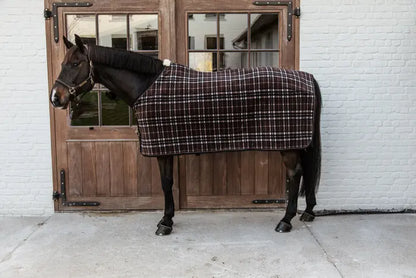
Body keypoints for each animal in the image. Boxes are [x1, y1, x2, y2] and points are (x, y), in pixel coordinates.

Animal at [49, 34, 322, 235]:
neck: (147, 86)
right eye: (62, 63)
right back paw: (308, 211)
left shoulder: (162, 149)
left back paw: (286, 220)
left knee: (295, 174)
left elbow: (166, 183)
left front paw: (165, 223)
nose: (55, 98)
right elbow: (168, 182)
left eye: (75, 64)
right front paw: (167, 219)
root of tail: (308, 78)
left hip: (288, 145)